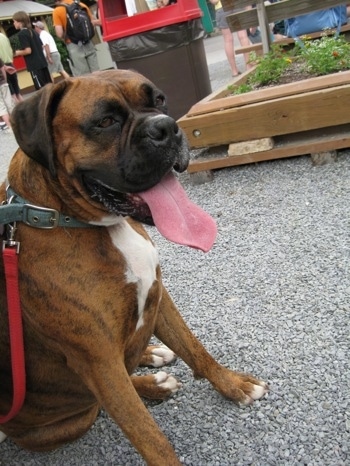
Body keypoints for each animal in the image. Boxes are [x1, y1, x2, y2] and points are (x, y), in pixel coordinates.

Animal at [0, 70, 268, 466]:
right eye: (105, 121)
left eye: (158, 100)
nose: (166, 127)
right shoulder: (98, 361)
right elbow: (150, 437)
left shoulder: (157, 295)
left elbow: (195, 348)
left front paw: (234, 385)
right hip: (70, 419)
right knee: (98, 405)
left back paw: (151, 357)